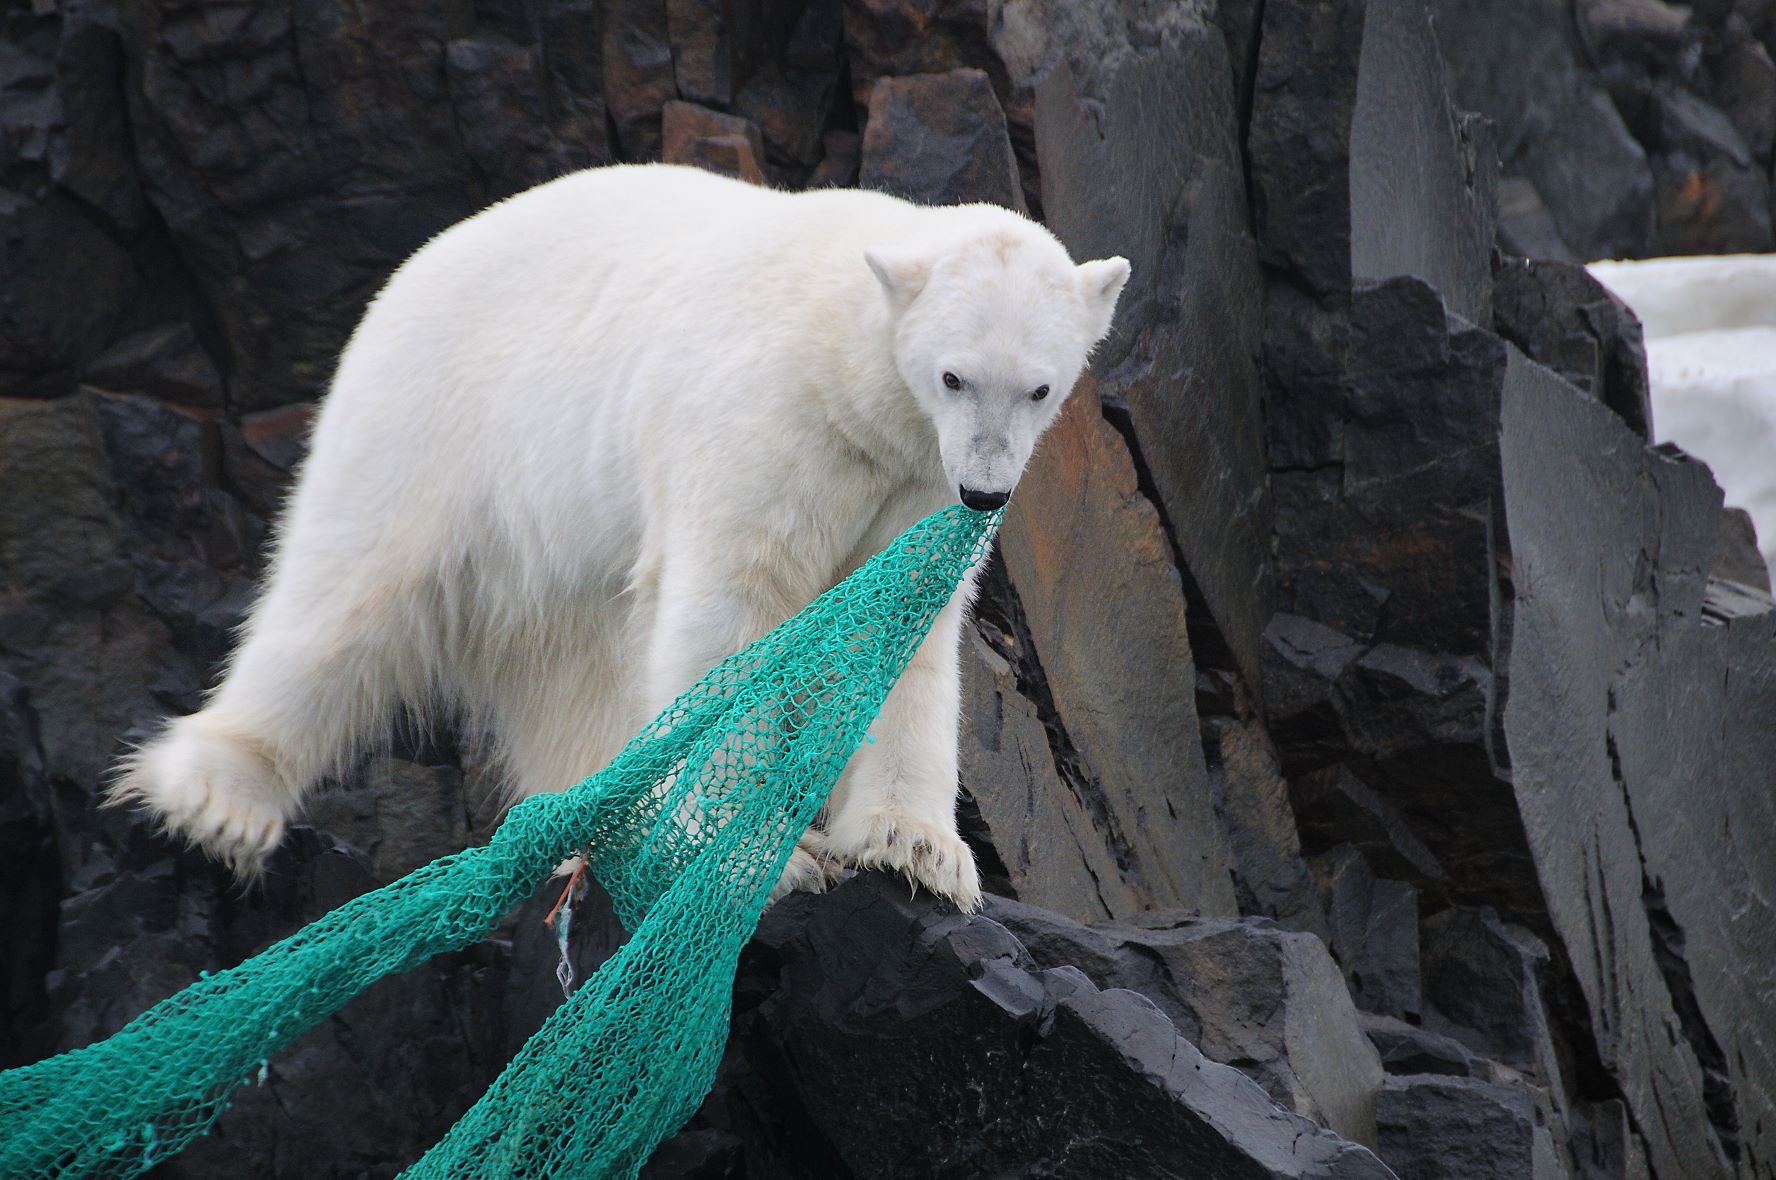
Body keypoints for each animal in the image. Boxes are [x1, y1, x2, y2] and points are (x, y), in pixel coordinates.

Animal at [111, 161, 1129, 906]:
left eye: (1039, 387)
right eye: (954, 376)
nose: (987, 491)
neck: (846, 366)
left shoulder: (911, 488)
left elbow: (896, 630)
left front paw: (914, 849)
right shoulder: (767, 423)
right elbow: (729, 615)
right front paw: (759, 856)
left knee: (575, 661)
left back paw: (610, 818)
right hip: (436, 420)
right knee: (346, 596)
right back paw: (219, 799)